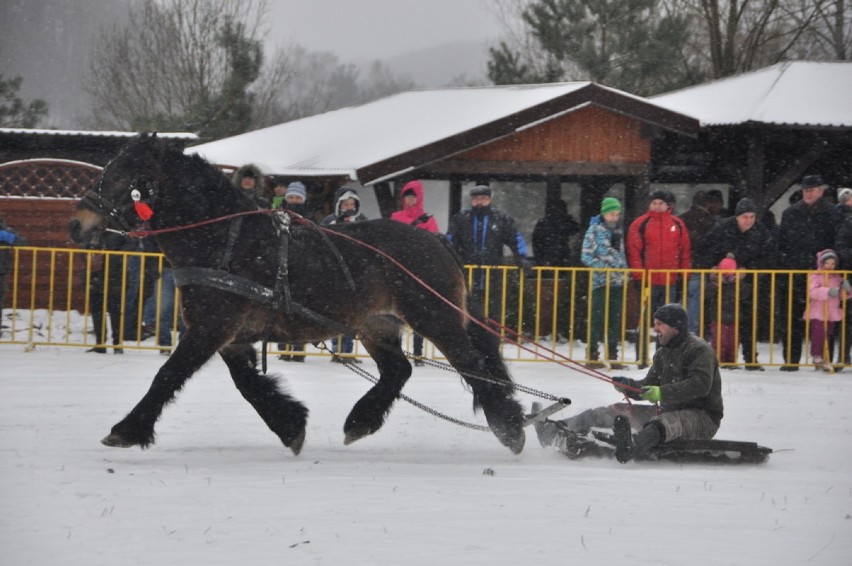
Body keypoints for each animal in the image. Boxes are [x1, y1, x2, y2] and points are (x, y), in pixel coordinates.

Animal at [68, 133, 524, 458]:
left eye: (126, 177)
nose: (76, 224)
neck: (225, 238)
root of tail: (439, 242)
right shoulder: (230, 336)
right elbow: (248, 384)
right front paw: (290, 424)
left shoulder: (211, 328)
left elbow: (168, 375)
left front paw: (126, 430)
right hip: (377, 324)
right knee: (398, 371)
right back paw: (361, 420)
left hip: (435, 318)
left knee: (472, 366)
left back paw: (511, 429)